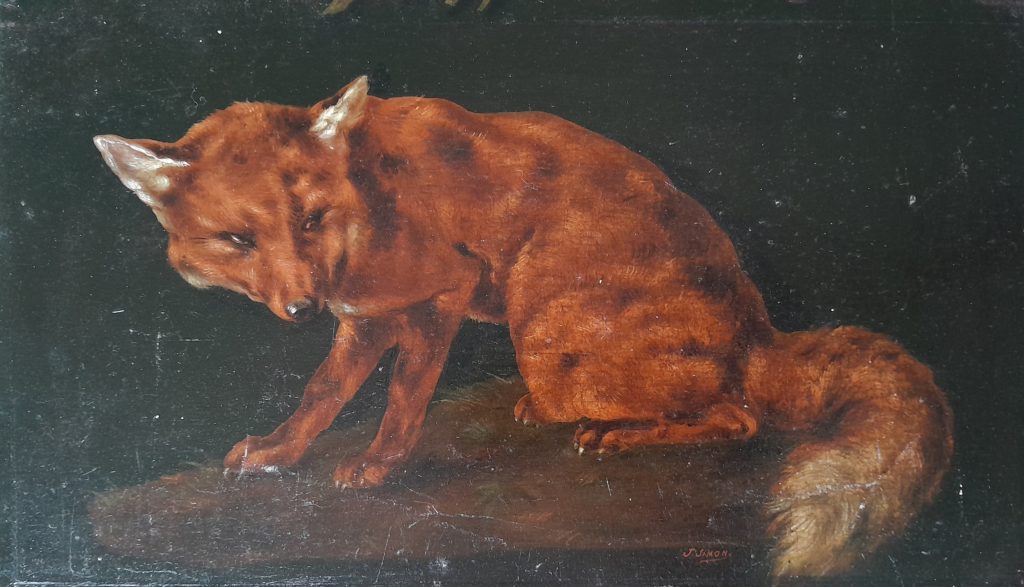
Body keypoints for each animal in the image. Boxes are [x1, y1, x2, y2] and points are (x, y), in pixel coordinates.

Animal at [94, 76, 953, 577]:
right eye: (238, 239)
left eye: (309, 219)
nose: (301, 304)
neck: (366, 204)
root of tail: (758, 328)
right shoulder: (366, 317)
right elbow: (321, 393)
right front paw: (278, 453)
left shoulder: (436, 297)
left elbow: (400, 401)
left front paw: (377, 467)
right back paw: (548, 415)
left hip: (546, 334)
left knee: (738, 415)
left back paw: (619, 433)